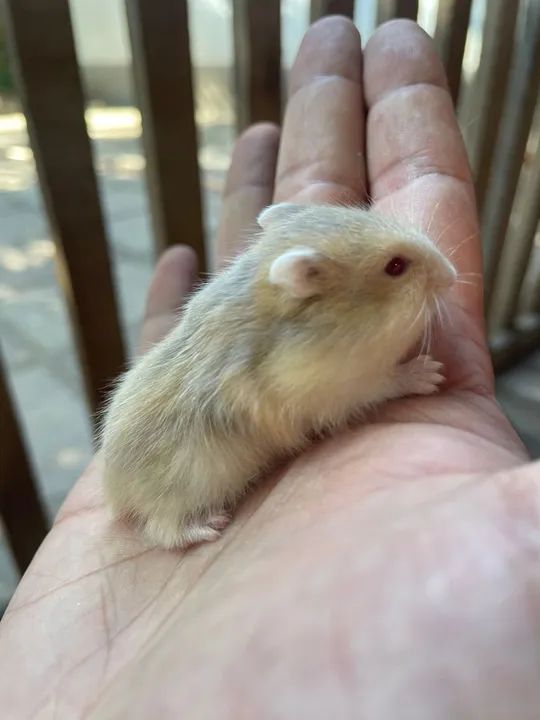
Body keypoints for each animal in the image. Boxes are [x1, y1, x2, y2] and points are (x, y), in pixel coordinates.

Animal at [100, 203, 456, 549]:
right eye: (395, 266)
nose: (453, 276)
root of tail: (115, 491)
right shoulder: (340, 387)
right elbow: (386, 382)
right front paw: (430, 373)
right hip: (183, 489)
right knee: (163, 529)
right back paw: (208, 527)